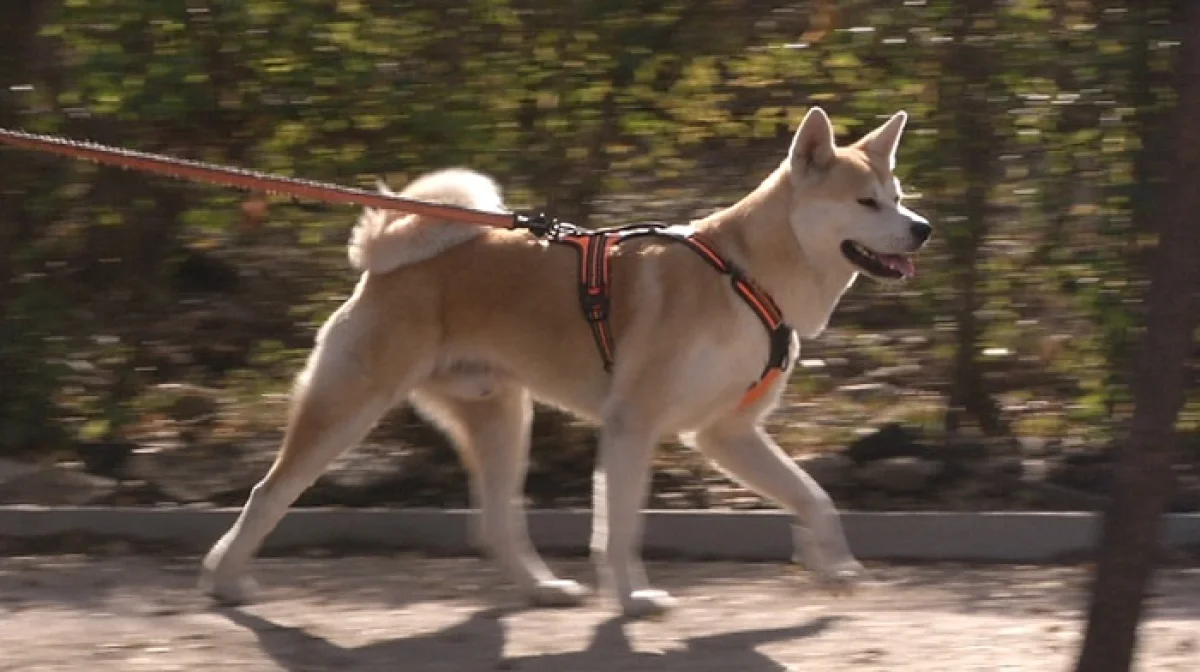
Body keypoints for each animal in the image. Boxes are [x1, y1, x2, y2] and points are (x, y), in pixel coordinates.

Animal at [199, 107, 926, 619]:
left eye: (896, 194)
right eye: (866, 202)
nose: (922, 229)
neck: (746, 276)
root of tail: (387, 260)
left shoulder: (726, 434)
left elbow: (813, 496)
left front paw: (831, 565)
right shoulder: (635, 426)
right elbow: (621, 529)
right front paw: (633, 600)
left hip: (502, 417)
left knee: (496, 523)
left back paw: (543, 588)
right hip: (349, 408)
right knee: (268, 493)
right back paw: (225, 580)